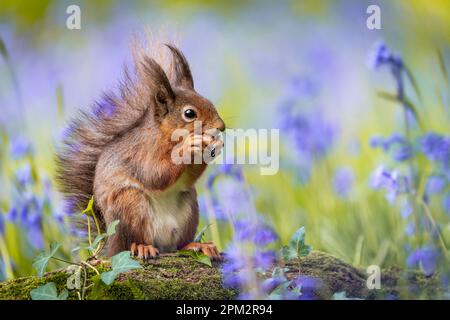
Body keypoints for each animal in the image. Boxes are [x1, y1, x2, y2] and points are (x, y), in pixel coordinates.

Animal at [56, 39, 225, 260]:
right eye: (189, 113)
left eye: (210, 102)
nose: (222, 127)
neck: (166, 136)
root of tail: (110, 245)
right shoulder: (141, 153)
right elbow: (154, 175)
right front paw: (189, 147)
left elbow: (187, 178)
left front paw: (213, 147)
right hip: (130, 205)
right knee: (131, 243)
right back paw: (142, 247)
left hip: (188, 206)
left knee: (179, 245)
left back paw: (197, 245)